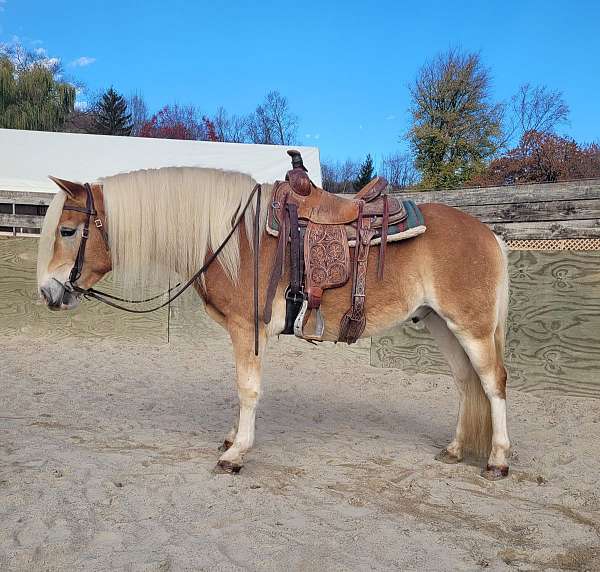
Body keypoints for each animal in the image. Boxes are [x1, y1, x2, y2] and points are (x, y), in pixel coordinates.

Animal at [35, 165, 508, 478]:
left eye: (67, 231)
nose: (47, 292)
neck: (232, 237)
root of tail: (489, 234)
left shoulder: (247, 327)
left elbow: (248, 388)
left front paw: (235, 453)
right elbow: (239, 386)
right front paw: (231, 438)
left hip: (471, 327)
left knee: (492, 383)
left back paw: (498, 460)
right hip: (440, 324)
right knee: (465, 382)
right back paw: (455, 449)